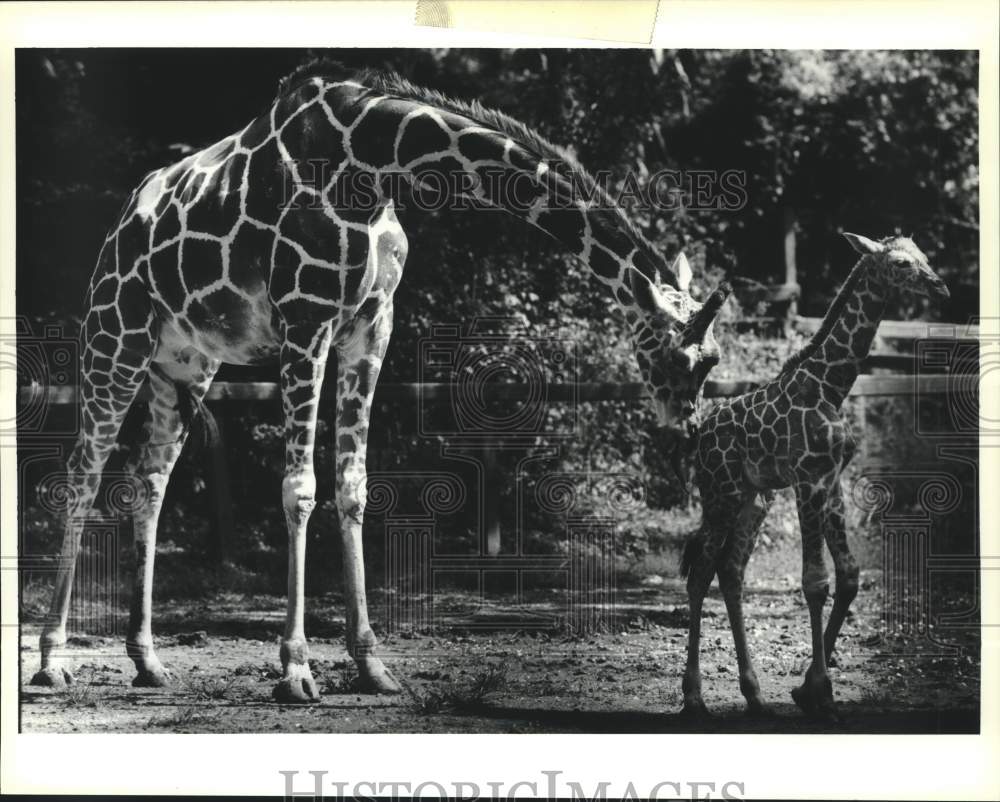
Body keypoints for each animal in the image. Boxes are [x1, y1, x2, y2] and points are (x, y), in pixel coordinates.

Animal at [29, 59, 728, 700]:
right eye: (688, 361)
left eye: (712, 360)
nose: (687, 431)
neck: (374, 160)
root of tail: (121, 224)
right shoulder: (305, 319)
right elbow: (300, 490)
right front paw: (296, 669)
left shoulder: (372, 326)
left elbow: (354, 488)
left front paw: (371, 664)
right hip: (115, 335)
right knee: (83, 474)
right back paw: (51, 660)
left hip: (184, 364)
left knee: (150, 482)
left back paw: (147, 660)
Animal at [680, 233, 944, 720]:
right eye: (901, 263)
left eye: (924, 257)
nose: (940, 286)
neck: (832, 387)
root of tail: (700, 436)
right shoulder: (807, 480)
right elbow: (815, 582)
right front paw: (820, 691)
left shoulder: (832, 480)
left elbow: (850, 575)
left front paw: (806, 689)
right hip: (720, 493)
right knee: (701, 572)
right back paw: (693, 699)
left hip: (753, 499)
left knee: (730, 571)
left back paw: (755, 695)